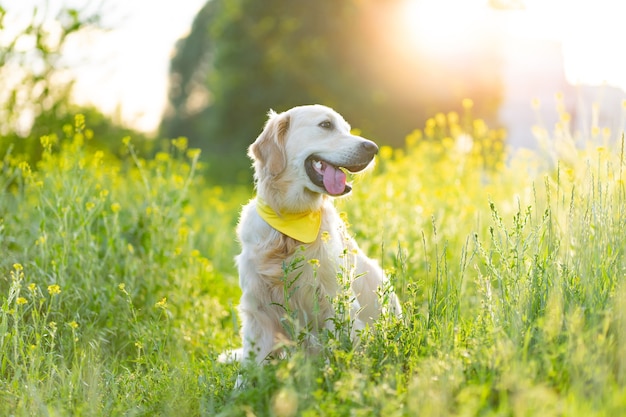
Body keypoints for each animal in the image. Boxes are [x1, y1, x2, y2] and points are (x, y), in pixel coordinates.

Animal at [230, 105, 400, 364]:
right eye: (326, 125)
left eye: (347, 129)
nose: (372, 148)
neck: (289, 227)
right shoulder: (258, 312)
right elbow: (252, 367)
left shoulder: (336, 303)